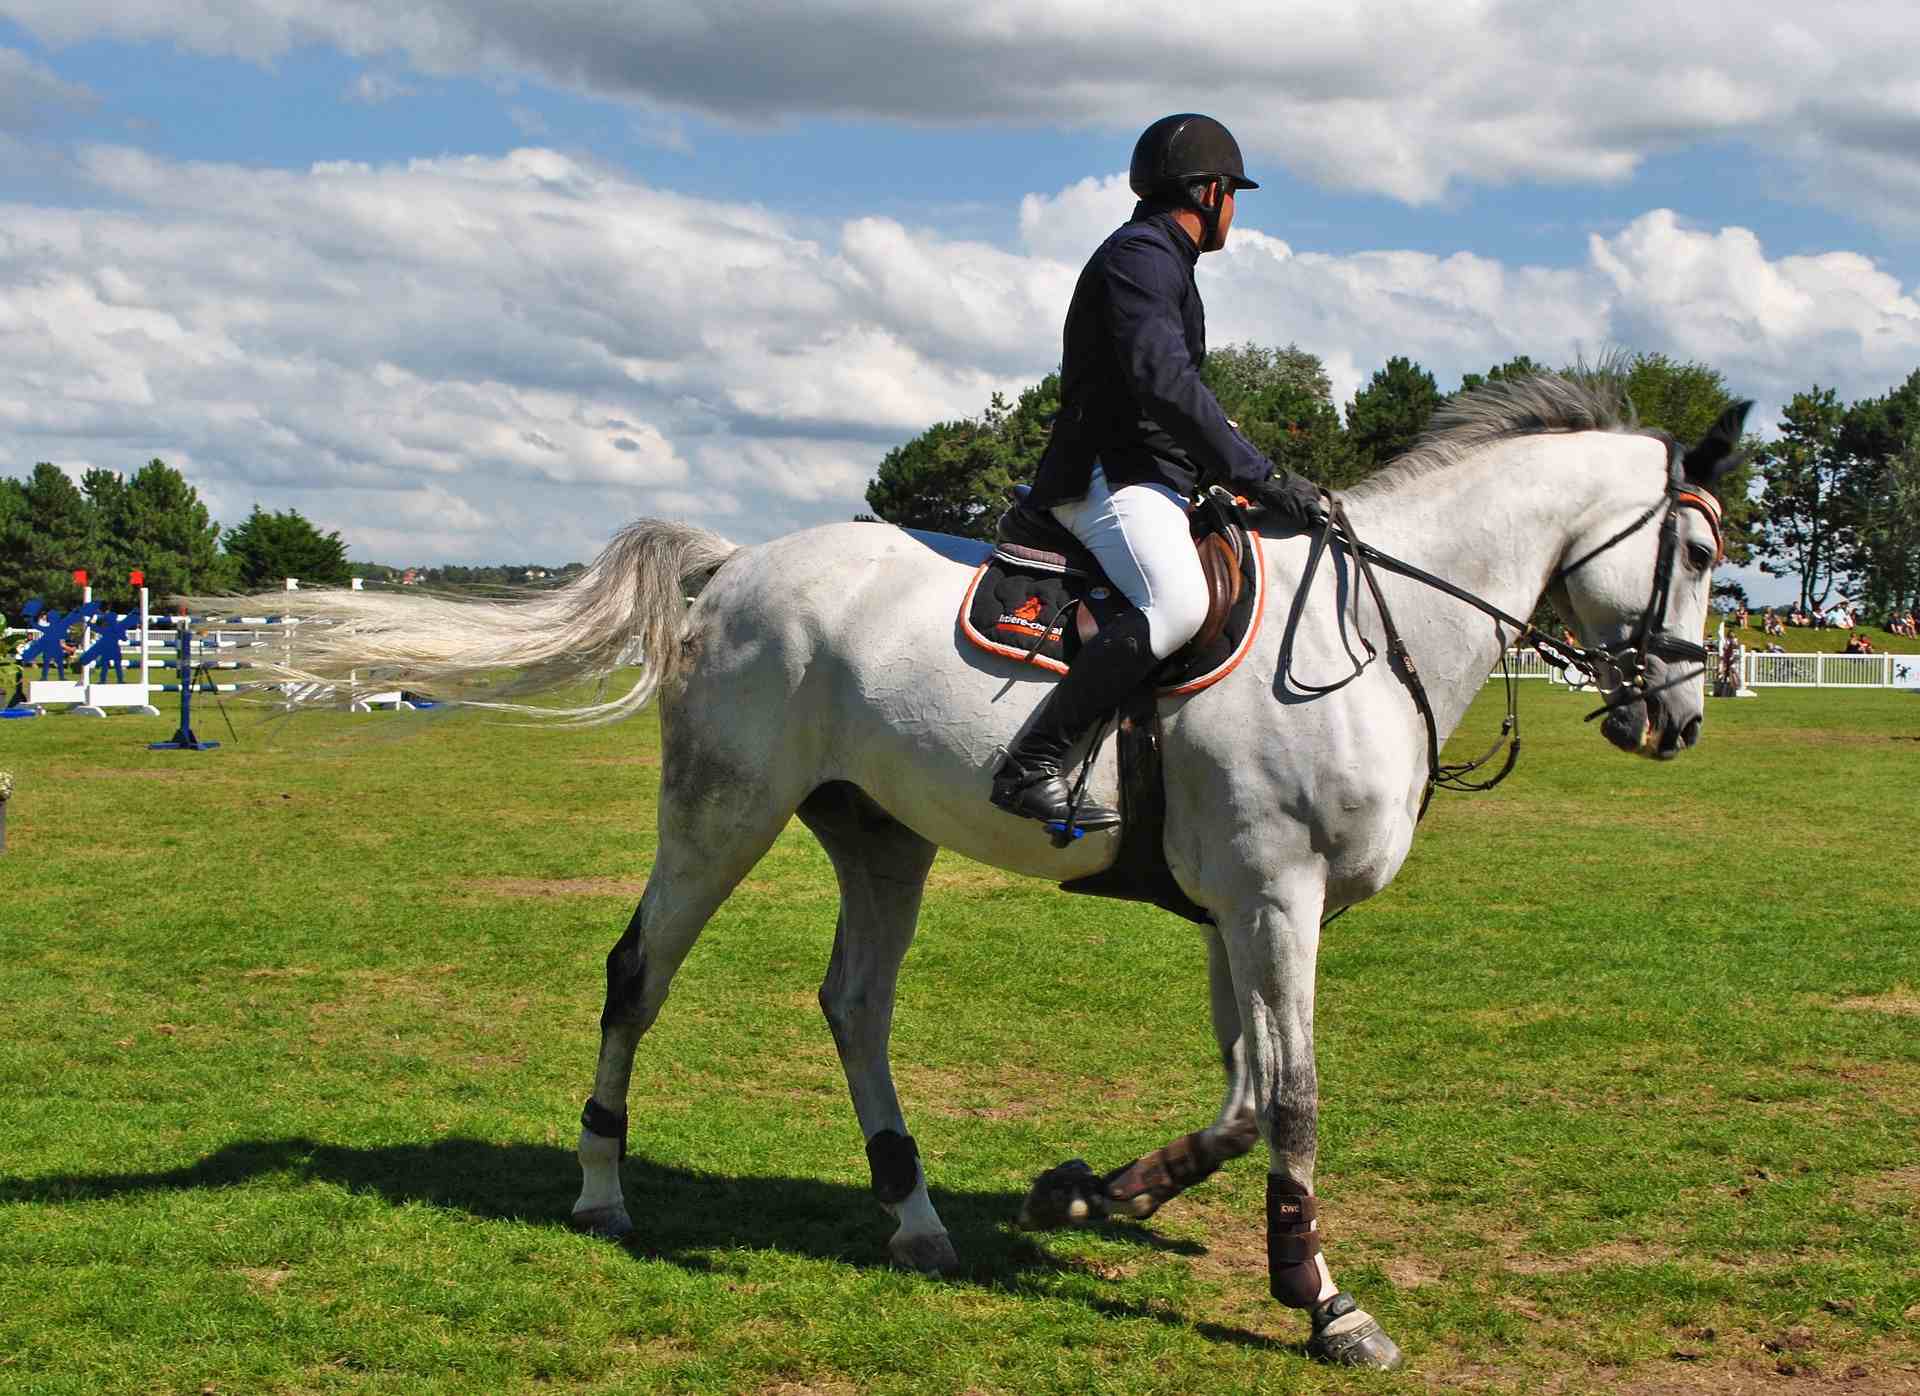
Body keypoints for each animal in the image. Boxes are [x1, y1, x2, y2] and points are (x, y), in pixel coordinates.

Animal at [263, 366, 1751, 1367]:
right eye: (1696, 549)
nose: (1675, 721)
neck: (1369, 633)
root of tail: (736, 567)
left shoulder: (1237, 907)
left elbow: (1242, 1096)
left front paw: (1095, 1190)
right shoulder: (1280, 900)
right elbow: (1296, 1099)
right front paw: (1324, 1302)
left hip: (880, 835)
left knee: (855, 1004)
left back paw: (915, 1216)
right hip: (722, 814)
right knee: (640, 974)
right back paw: (603, 1190)